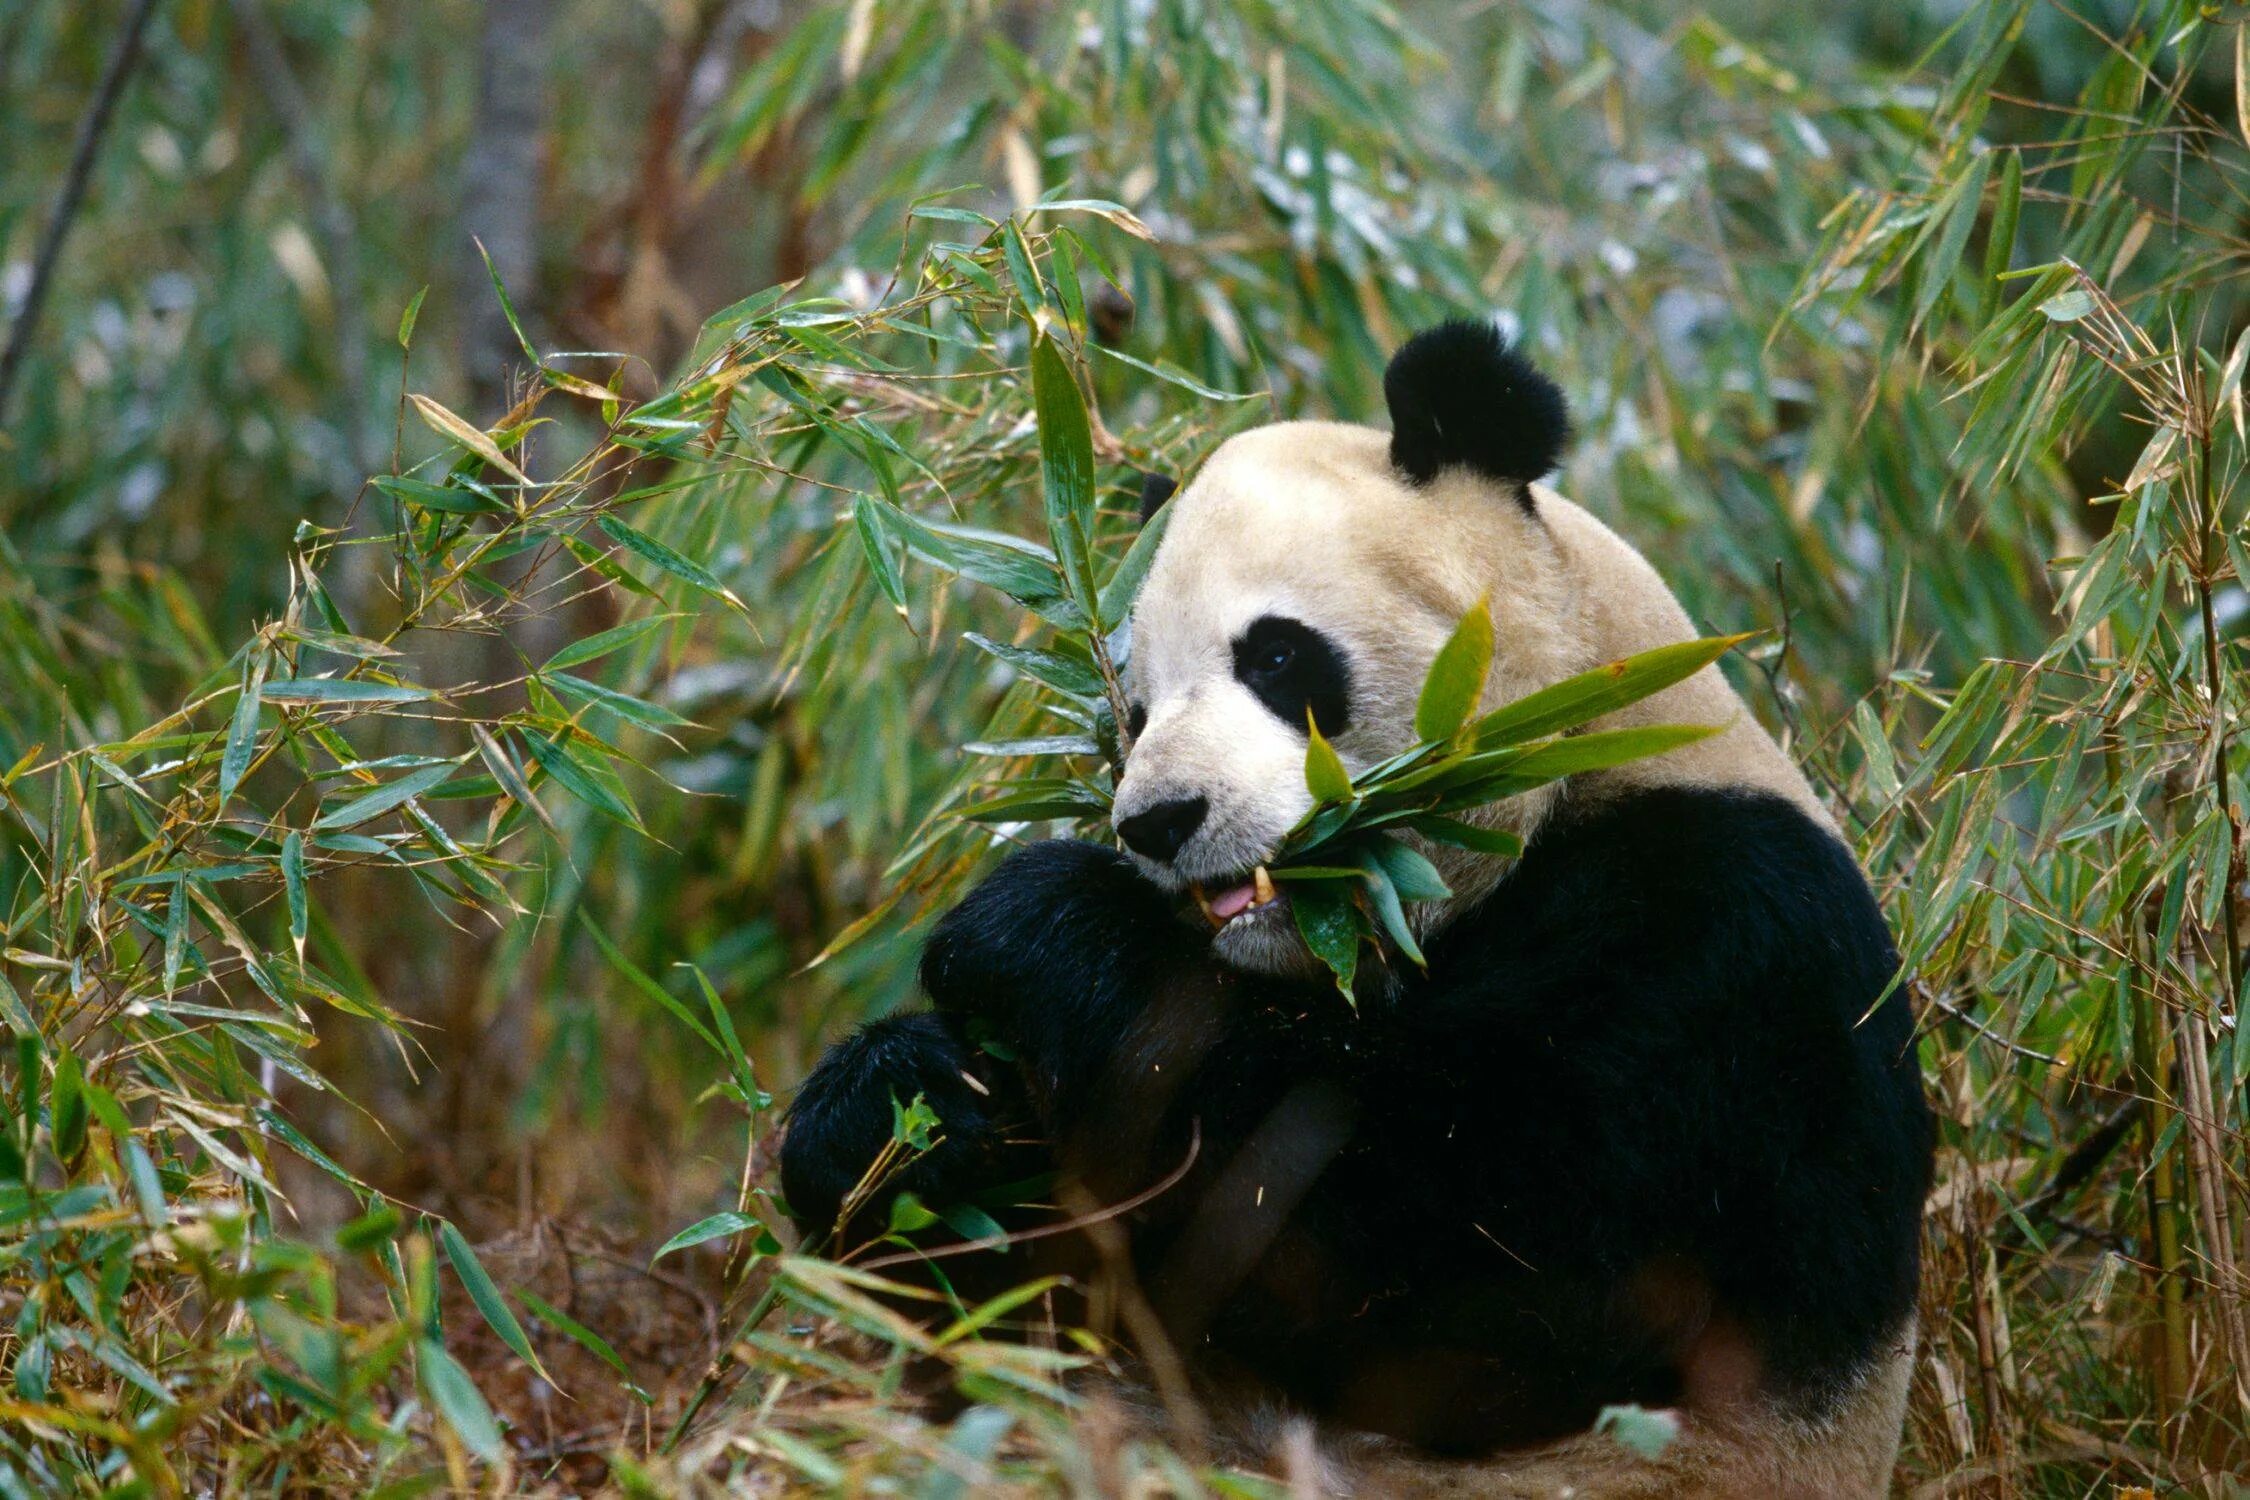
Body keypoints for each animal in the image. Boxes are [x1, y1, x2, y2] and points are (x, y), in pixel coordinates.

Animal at [778, 323, 1935, 1493]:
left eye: (1277, 656)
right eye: (1134, 713)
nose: (1158, 821)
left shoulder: (1723, 946)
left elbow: (1464, 1259)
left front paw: (1033, 929)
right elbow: (1052, 1288)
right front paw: (900, 1108)